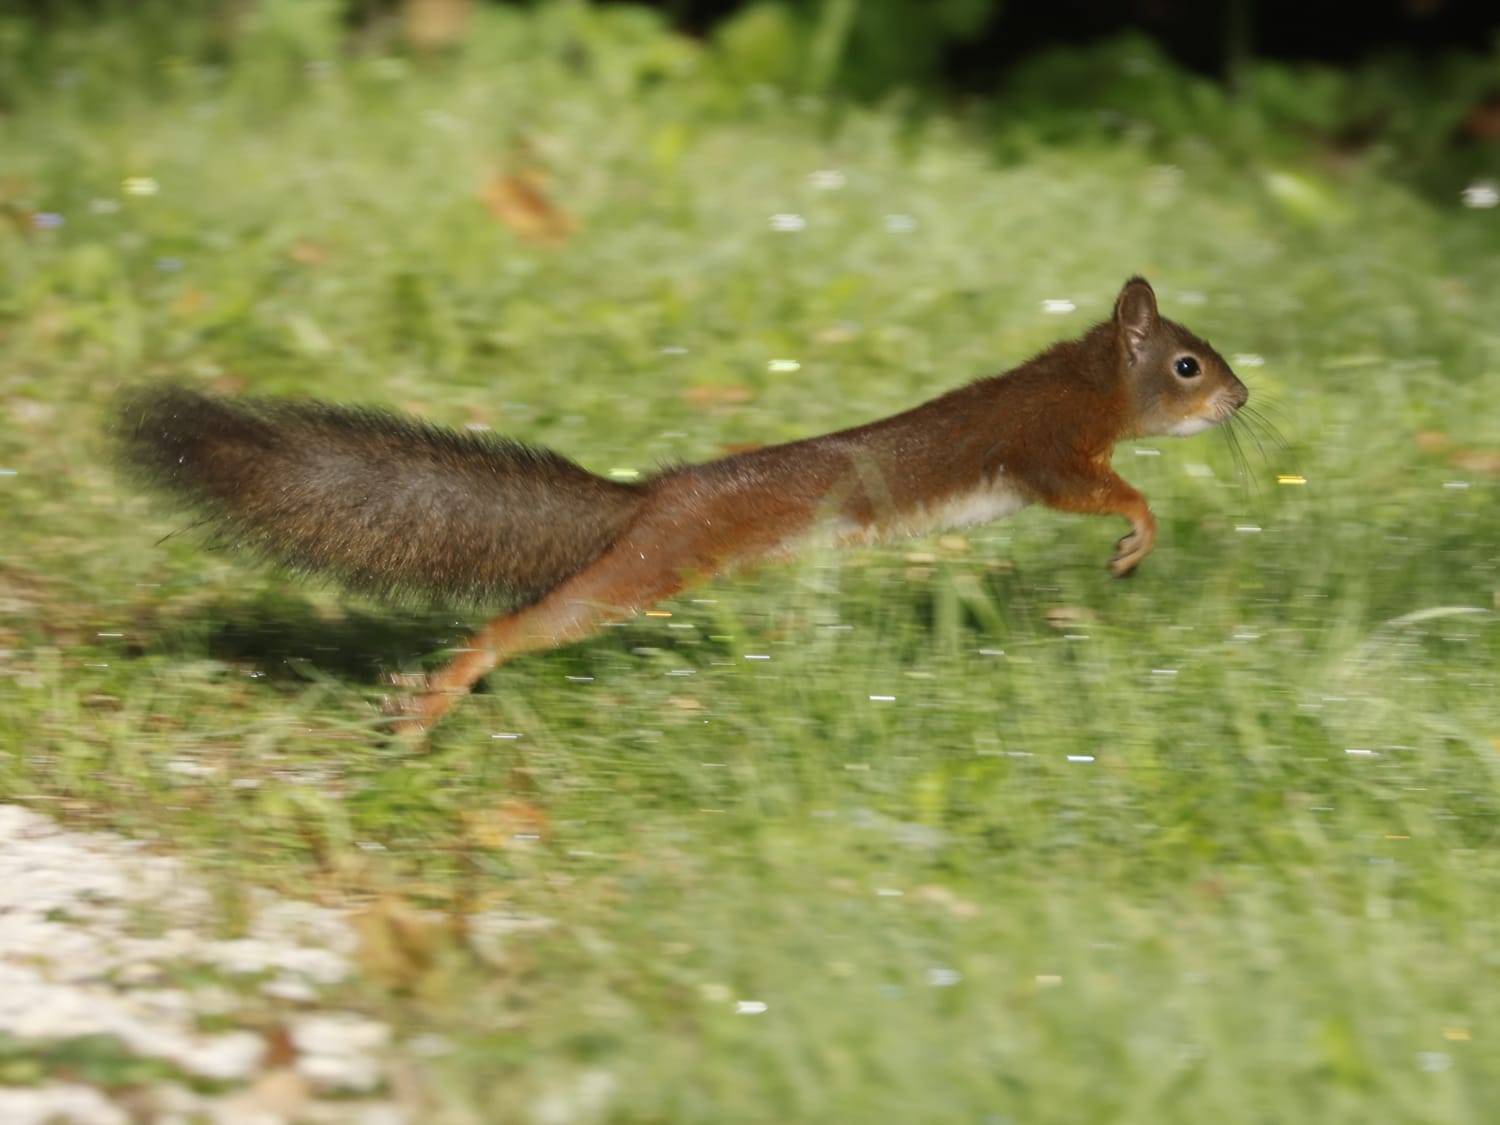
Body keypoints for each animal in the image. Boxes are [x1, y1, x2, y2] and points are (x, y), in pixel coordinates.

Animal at [117, 277, 1247, 735]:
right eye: (1190, 365)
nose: (1244, 398)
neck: (1088, 377)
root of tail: (650, 500)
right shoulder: (1049, 448)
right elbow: (1108, 489)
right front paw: (1139, 534)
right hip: (649, 571)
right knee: (520, 627)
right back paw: (441, 695)